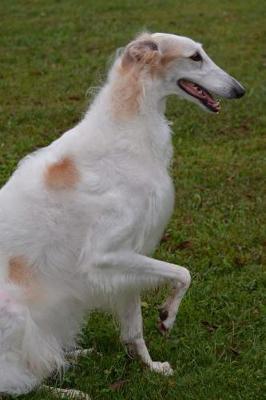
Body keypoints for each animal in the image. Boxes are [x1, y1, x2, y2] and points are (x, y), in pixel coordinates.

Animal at [0, 32, 245, 396]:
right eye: (195, 57)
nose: (240, 90)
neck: (126, 129)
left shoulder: (129, 257)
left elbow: (134, 331)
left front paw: (151, 366)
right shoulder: (104, 255)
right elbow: (184, 273)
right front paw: (167, 316)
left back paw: (73, 355)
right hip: (16, 314)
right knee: (15, 384)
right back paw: (67, 390)